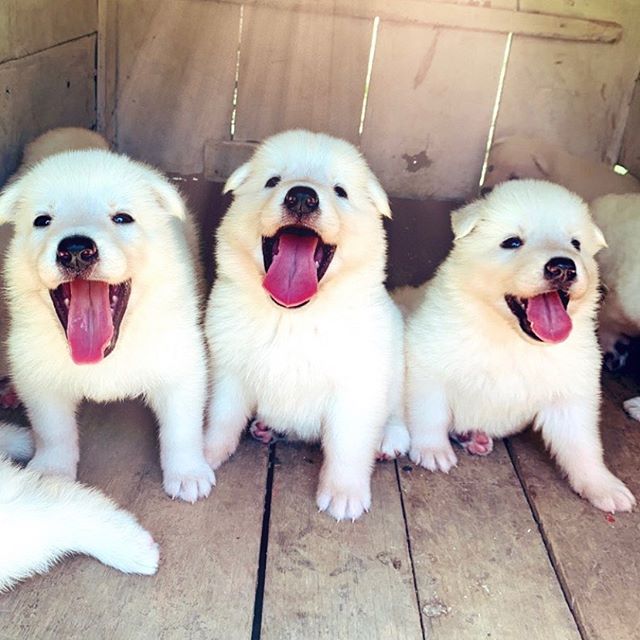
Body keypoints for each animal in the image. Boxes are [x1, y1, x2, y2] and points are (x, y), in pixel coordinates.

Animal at [0, 129, 213, 502]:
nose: (74, 250)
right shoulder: (39, 374)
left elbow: (182, 427)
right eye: (42, 220)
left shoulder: (180, 360)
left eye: (122, 218)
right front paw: (51, 475)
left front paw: (188, 472)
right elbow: (53, 432)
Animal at [203, 130, 408, 521]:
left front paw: (344, 493)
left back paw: (390, 439)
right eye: (273, 181)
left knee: (398, 412)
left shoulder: (357, 385)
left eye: (340, 191)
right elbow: (222, 418)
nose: (301, 195)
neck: (292, 315)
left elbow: (348, 443)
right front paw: (202, 454)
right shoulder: (230, 369)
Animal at [405, 179, 635, 513]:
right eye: (512, 242)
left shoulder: (571, 396)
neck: (513, 340)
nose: (563, 267)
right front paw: (432, 450)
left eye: (575, 243)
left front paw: (603, 485)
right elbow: (429, 412)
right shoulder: (428, 364)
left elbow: (583, 445)